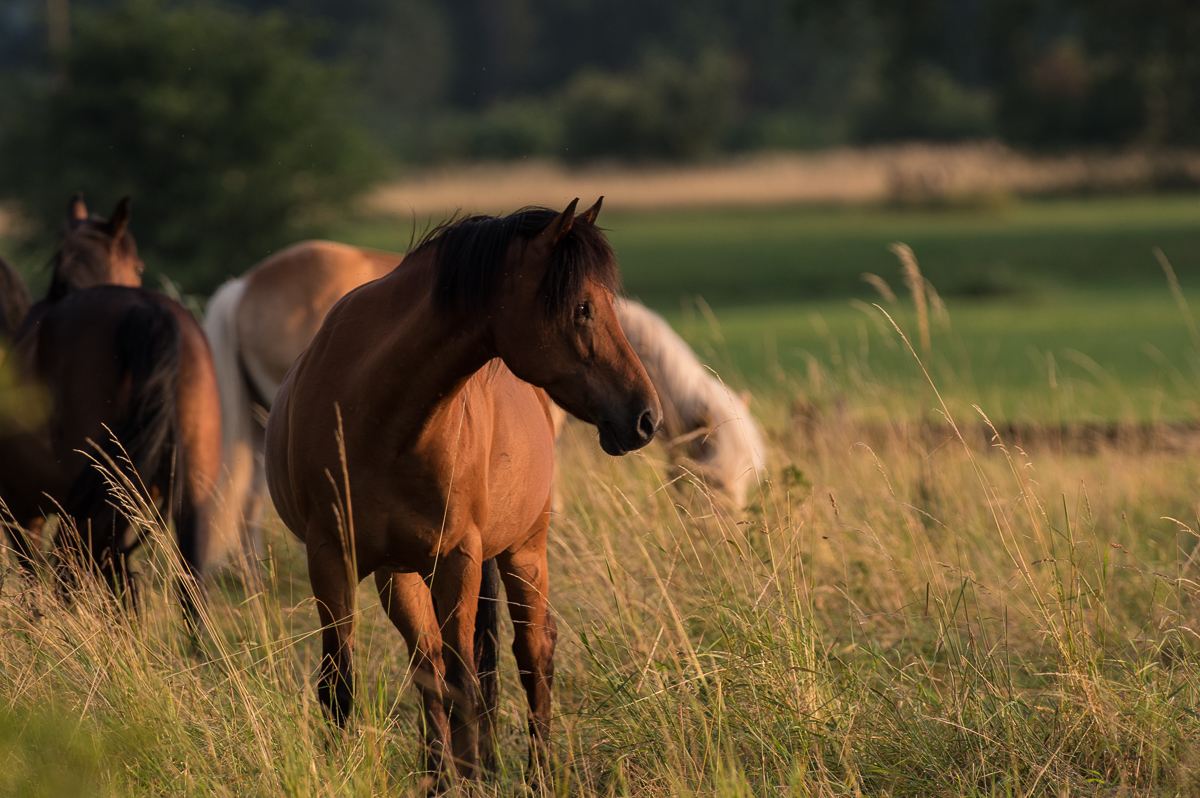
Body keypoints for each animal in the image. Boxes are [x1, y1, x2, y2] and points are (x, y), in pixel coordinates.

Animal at [0, 194, 223, 624]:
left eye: (138, 266)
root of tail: (147, 308)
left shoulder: (20, 510)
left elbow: (35, 584)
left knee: (112, 582)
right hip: (189, 490)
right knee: (189, 588)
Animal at [265, 200, 667, 782]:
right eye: (583, 308)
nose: (646, 418)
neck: (375, 413)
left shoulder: (457, 557)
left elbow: (467, 686)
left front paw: (474, 776)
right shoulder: (330, 557)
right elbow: (340, 684)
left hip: (523, 550)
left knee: (532, 652)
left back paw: (536, 772)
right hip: (401, 574)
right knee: (428, 664)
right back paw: (441, 775)